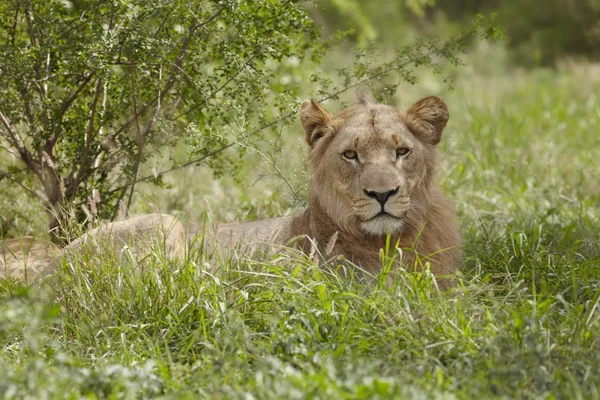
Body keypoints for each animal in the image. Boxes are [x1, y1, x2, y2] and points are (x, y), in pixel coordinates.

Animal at [0, 93, 462, 288]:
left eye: (402, 151)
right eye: (350, 155)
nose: (382, 195)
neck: (394, 241)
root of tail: (41, 273)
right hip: (165, 225)